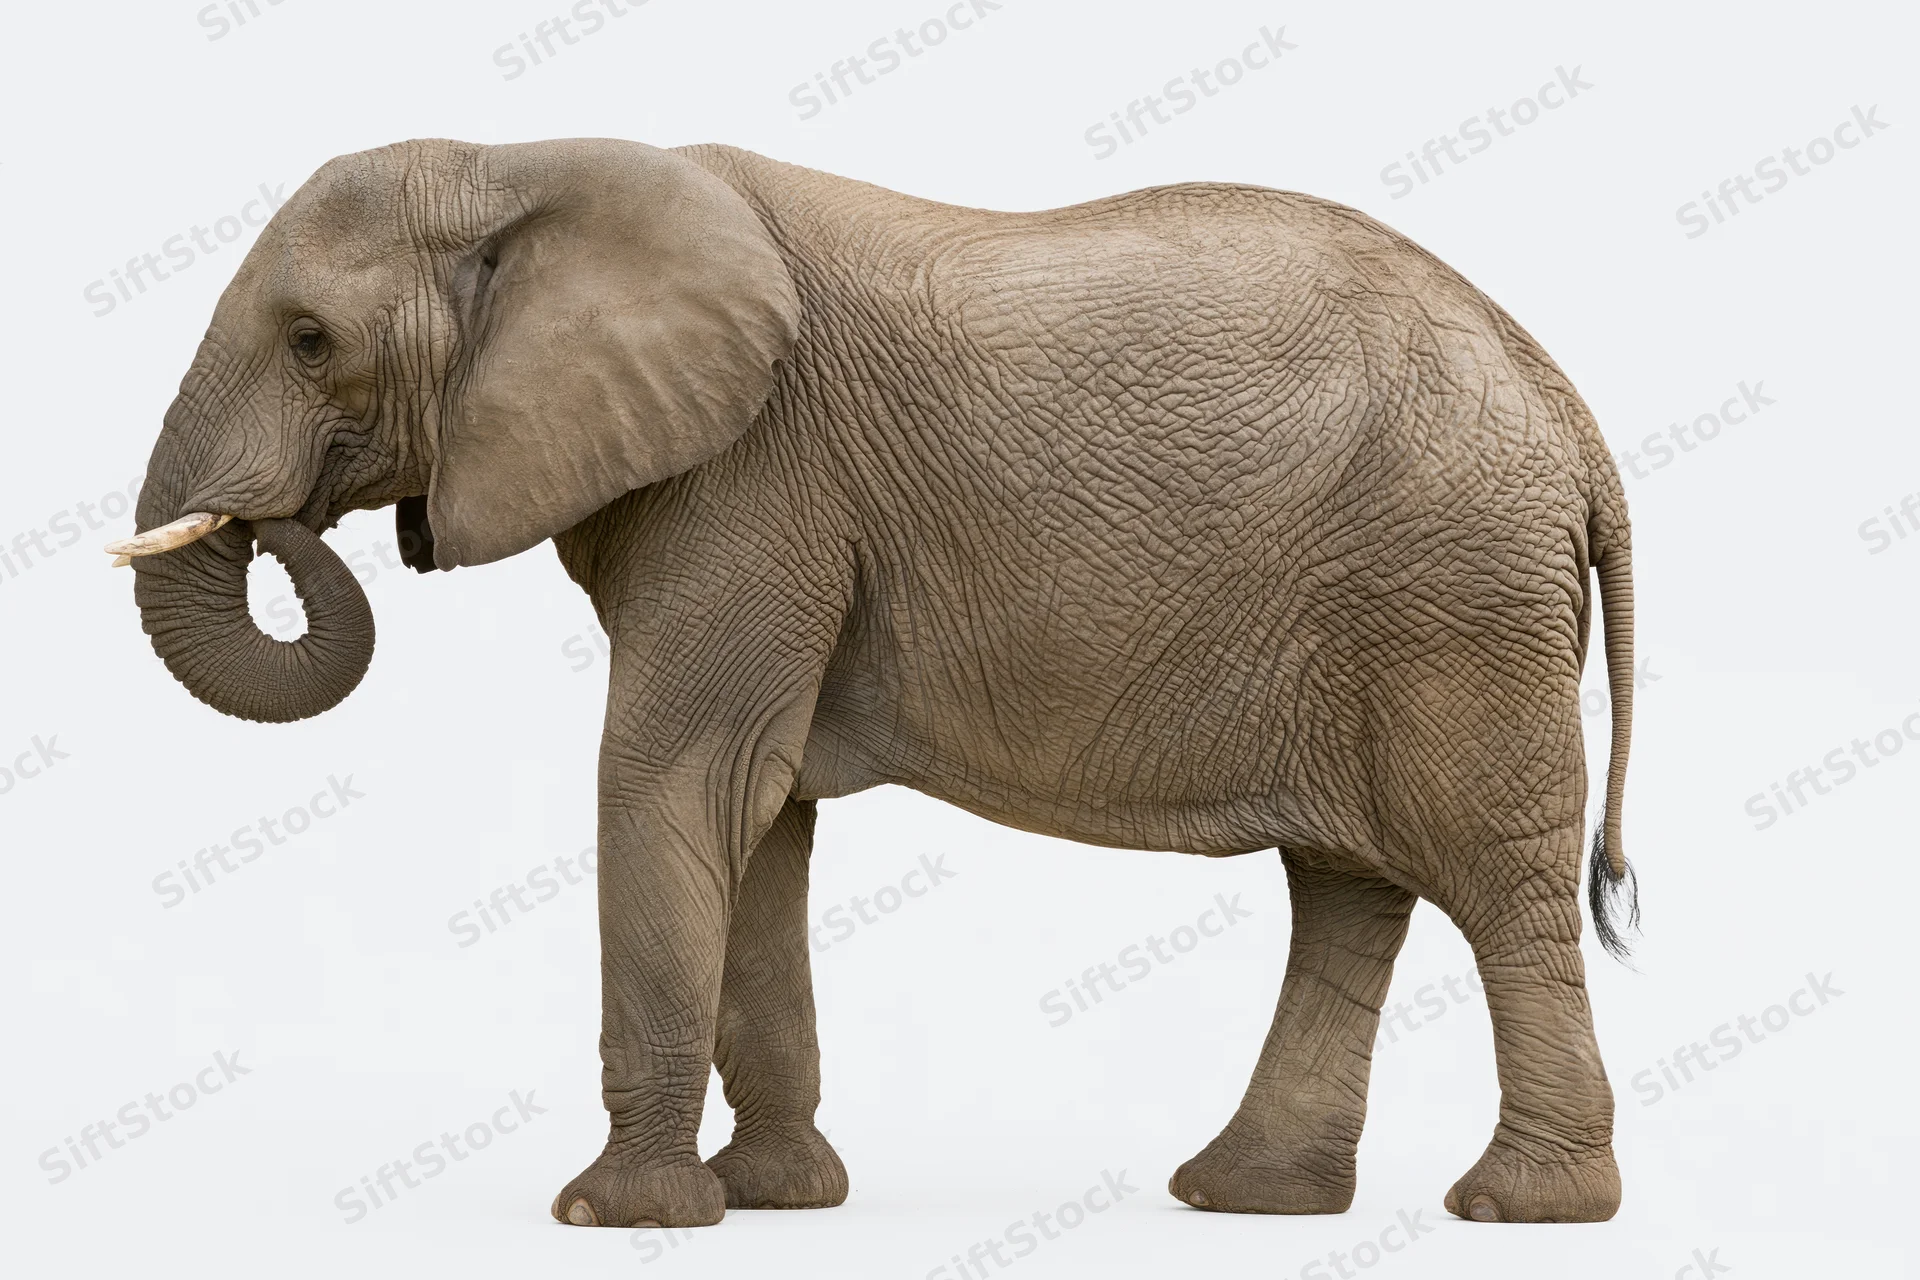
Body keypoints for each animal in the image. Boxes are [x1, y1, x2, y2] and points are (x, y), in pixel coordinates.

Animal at [116, 137, 1639, 1228]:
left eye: (311, 340)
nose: (290, 520)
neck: (524, 165)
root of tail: (1576, 420)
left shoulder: (753, 480)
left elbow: (674, 780)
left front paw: (623, 1218)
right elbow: (761, 814)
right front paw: (778, 1199)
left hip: (1456, 601)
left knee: (1494, 883)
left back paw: (1521, 1209)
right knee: (1346, 883)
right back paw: (1245, 1197)